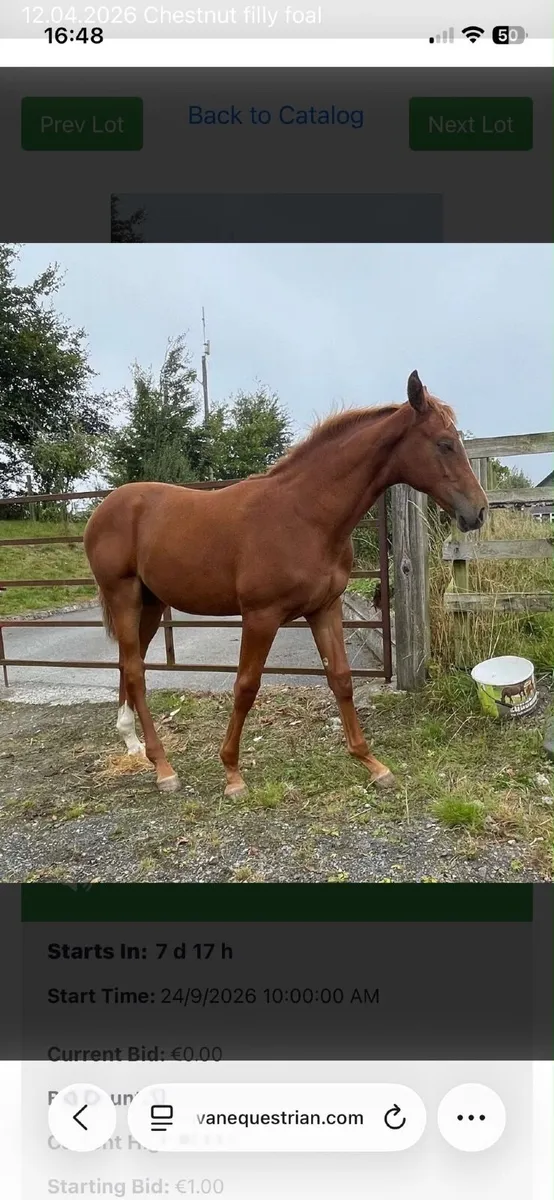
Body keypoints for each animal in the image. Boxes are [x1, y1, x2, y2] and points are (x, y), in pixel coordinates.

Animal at [84, 370, 488, 796]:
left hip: (151, 602)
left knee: (130, 665)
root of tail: (105, 509)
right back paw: (163, 768)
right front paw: (232, 772)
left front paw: (372, 763)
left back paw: (133, 743)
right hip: (124, 596)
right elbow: (246, 686)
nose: (478, 511)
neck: (304, 514)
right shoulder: (261, 617)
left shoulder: (324, 609)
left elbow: (342, 680)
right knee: (136, 671)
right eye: (444, 444)